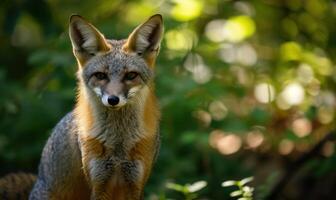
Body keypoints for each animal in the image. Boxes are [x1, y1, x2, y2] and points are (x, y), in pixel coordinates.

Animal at [27, 14, 164, 200]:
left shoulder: (135, 182)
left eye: (131, 75)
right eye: (100, 75)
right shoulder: (99, 182)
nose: (113, 100)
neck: (118, 143)